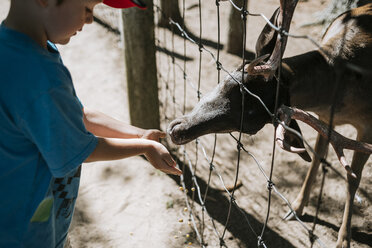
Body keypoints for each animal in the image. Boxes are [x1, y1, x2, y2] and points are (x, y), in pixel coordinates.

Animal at [168, 2, 372, 248]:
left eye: (251, 125)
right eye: (232, 81)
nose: (178, 130)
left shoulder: (368, 128)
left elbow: (352, 178)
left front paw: (343, 240)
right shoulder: (325, 118)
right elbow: (316, 159)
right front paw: (296, 208)